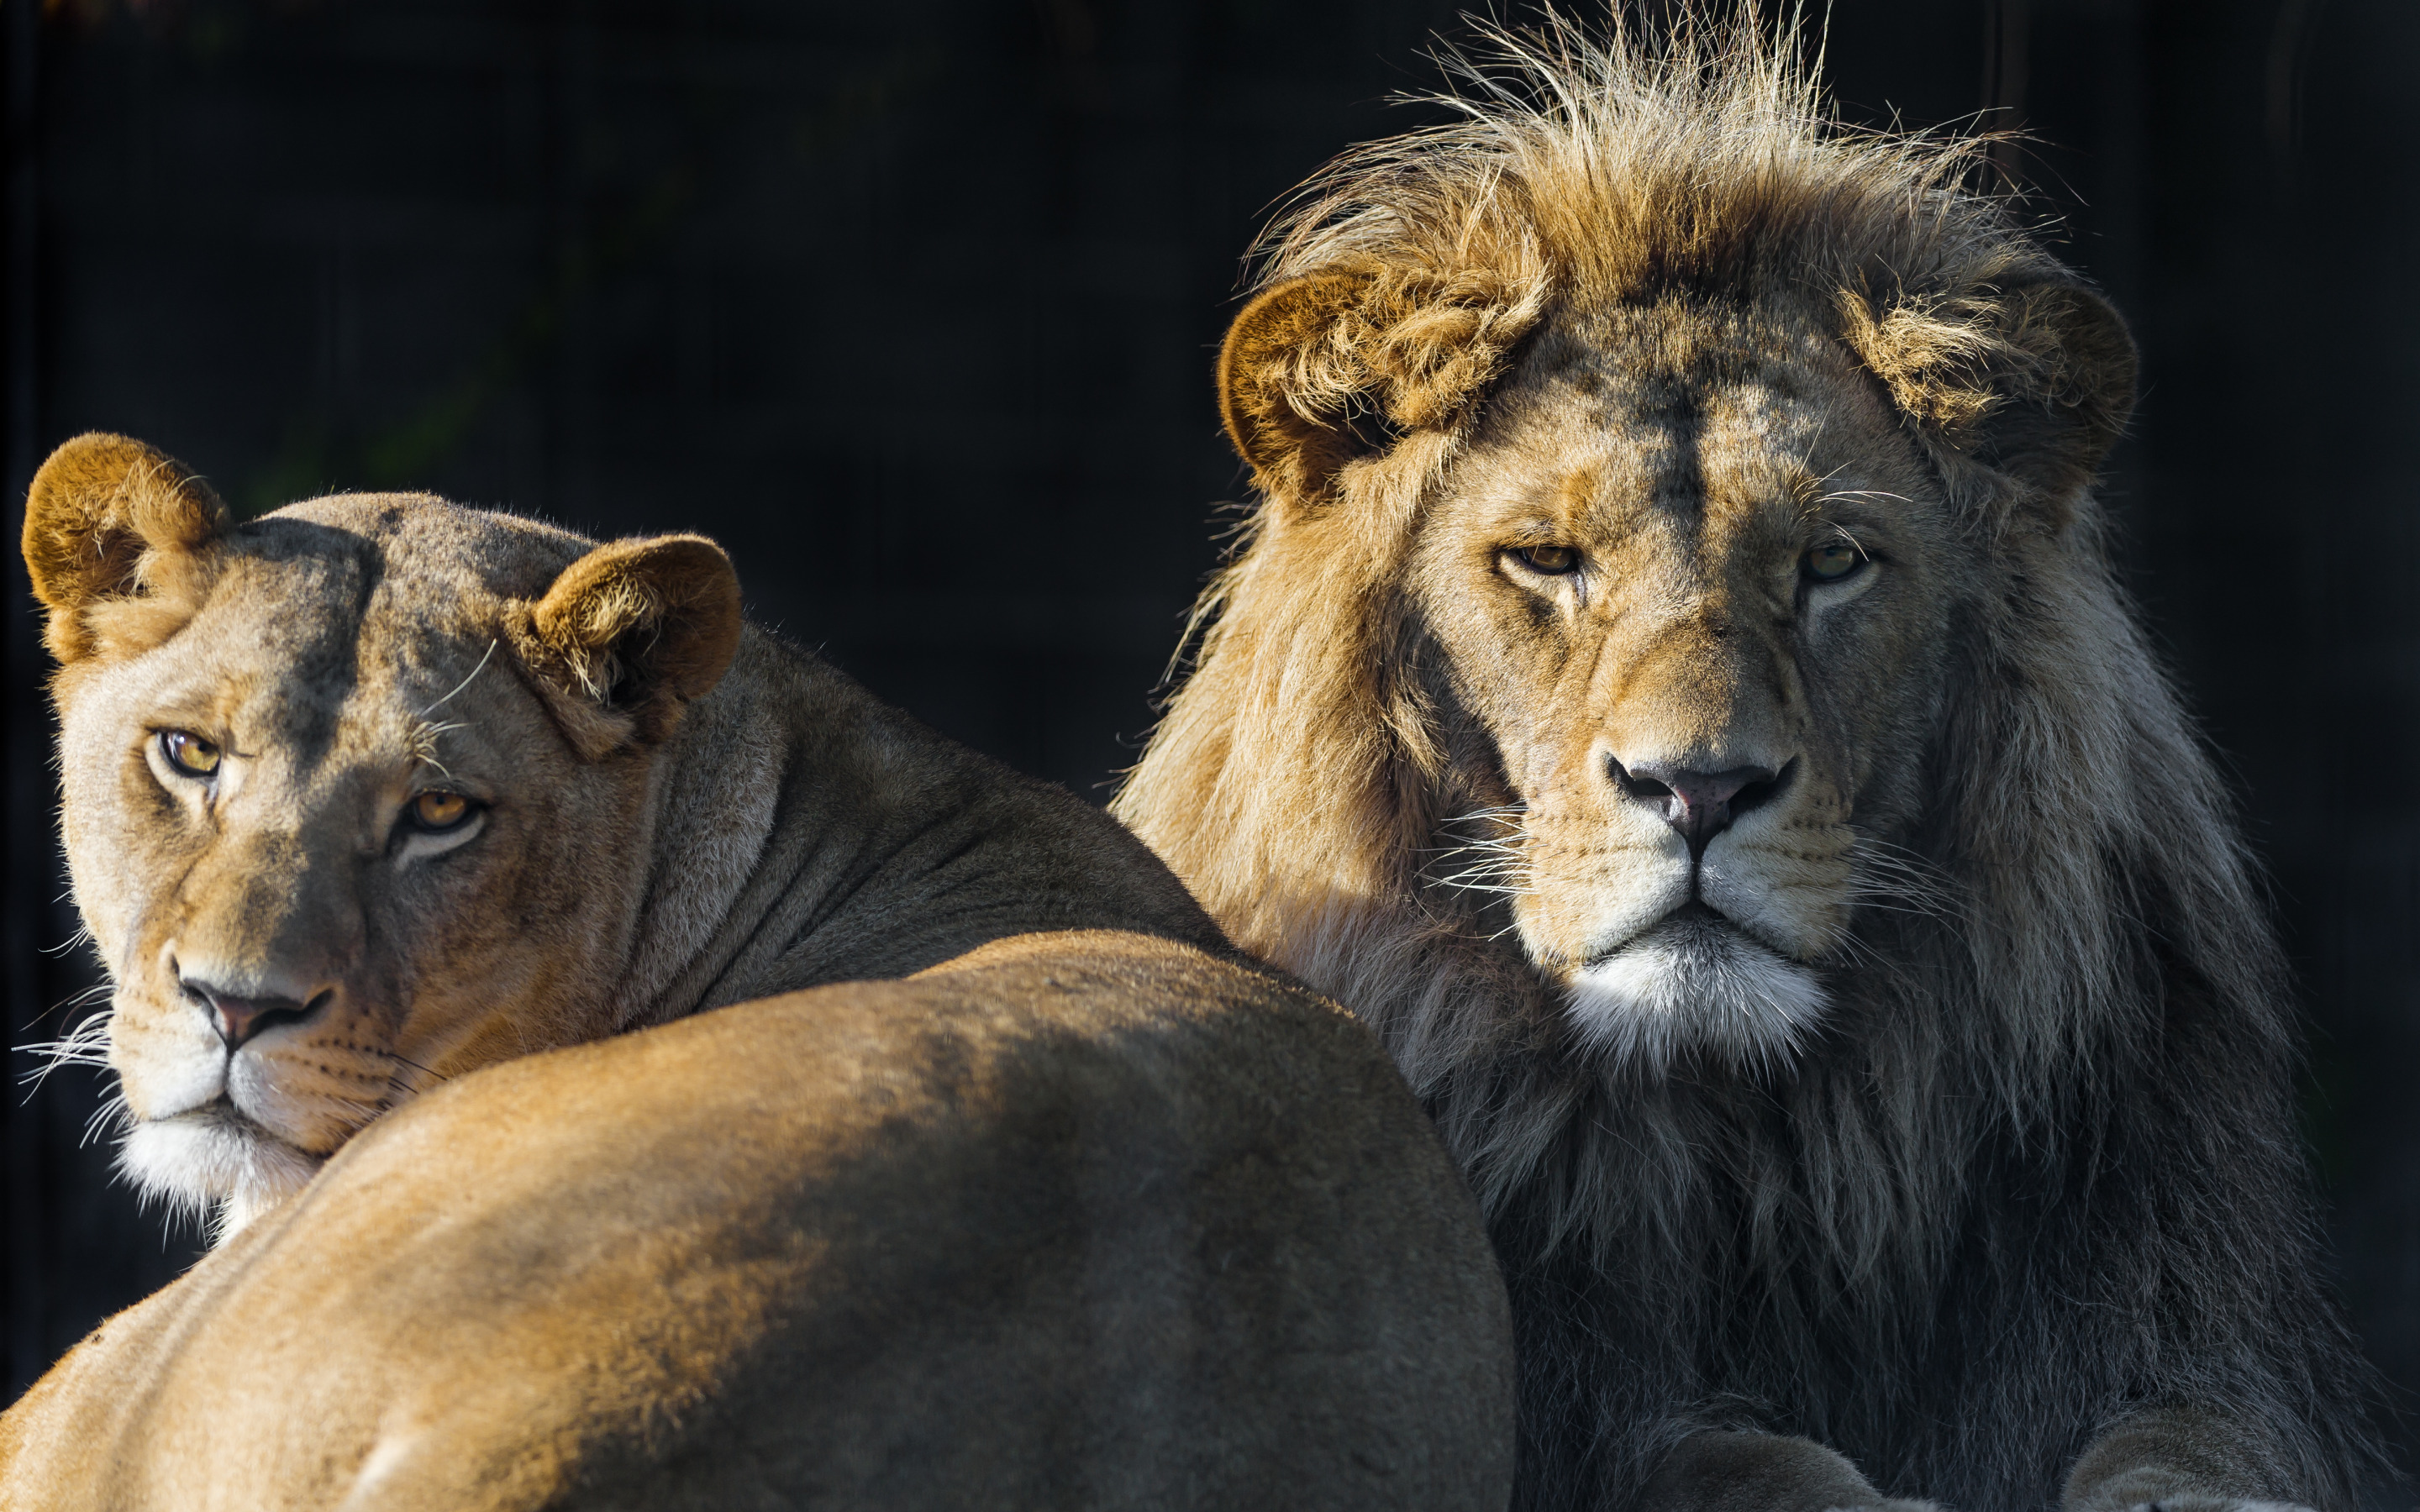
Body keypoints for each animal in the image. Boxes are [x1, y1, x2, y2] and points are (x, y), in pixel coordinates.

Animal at [1108, 12, 2381, 1509]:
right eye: (1547, 559)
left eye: (1831, 563)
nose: (1699, 790)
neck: (1767, 1163)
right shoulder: (1546, 1405)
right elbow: (1733, 1463)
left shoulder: (2186, 1325)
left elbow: (2194, 1451)